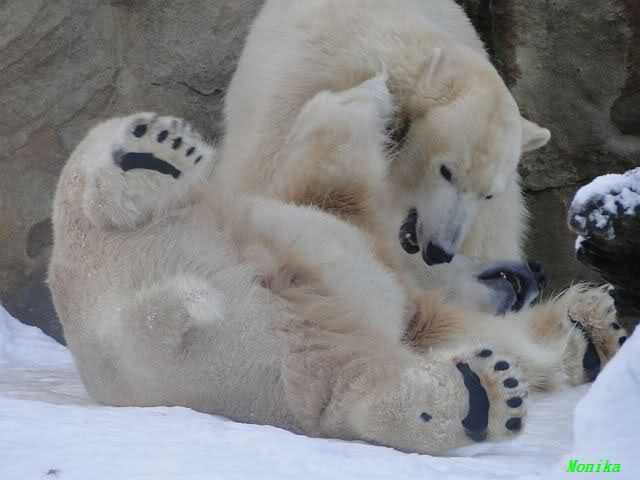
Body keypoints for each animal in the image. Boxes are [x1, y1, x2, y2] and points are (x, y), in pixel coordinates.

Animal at [49, 76, 626, 455]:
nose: (536, 271)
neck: (406, 267)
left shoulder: (417, 313)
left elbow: (502, 341)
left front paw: (593, 329)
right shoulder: (343, 216)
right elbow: (330, 148)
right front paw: (380, 90)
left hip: (272, 370)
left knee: (350, 392)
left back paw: (477, 396)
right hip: (131, 236)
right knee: (88, 181)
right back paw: (151, 154)